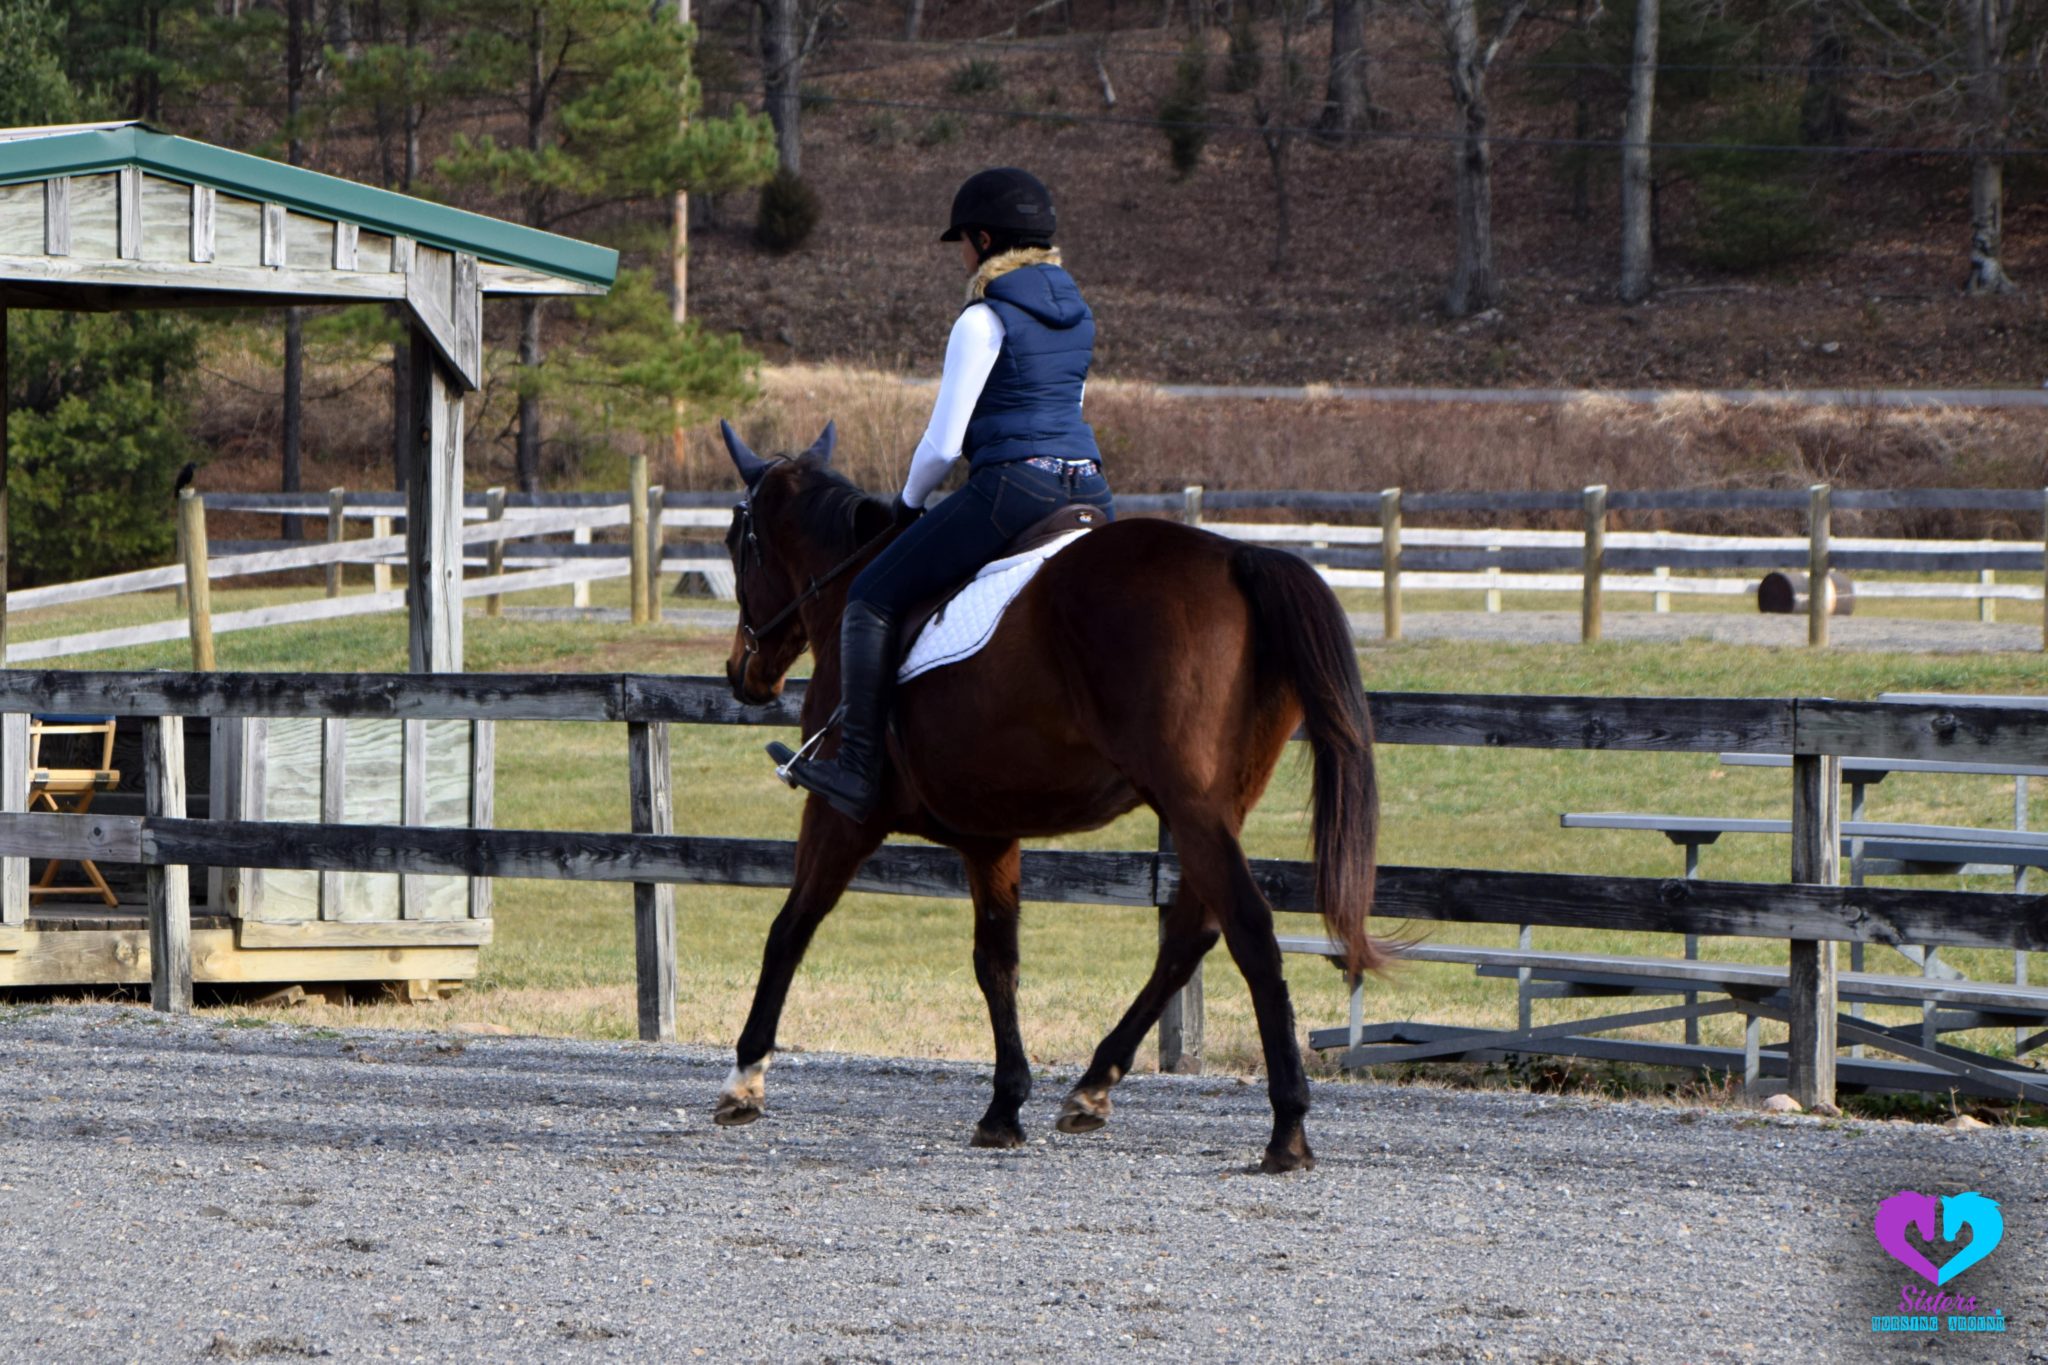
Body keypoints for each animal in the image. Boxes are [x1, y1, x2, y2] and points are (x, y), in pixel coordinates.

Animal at [712, 422, 1385, 1173]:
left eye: (737, 541)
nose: (743, 673)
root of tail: (1238, 557)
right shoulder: (990, 834)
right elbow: (996, 961)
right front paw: (1005, 1105)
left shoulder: (839, 814)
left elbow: (790, 927)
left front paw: (745, 1077)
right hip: (1214, 809)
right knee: (1191, 933)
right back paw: (1093, 1085)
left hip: (1191, 807)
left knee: (1248, 931)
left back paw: (1286, 1128)